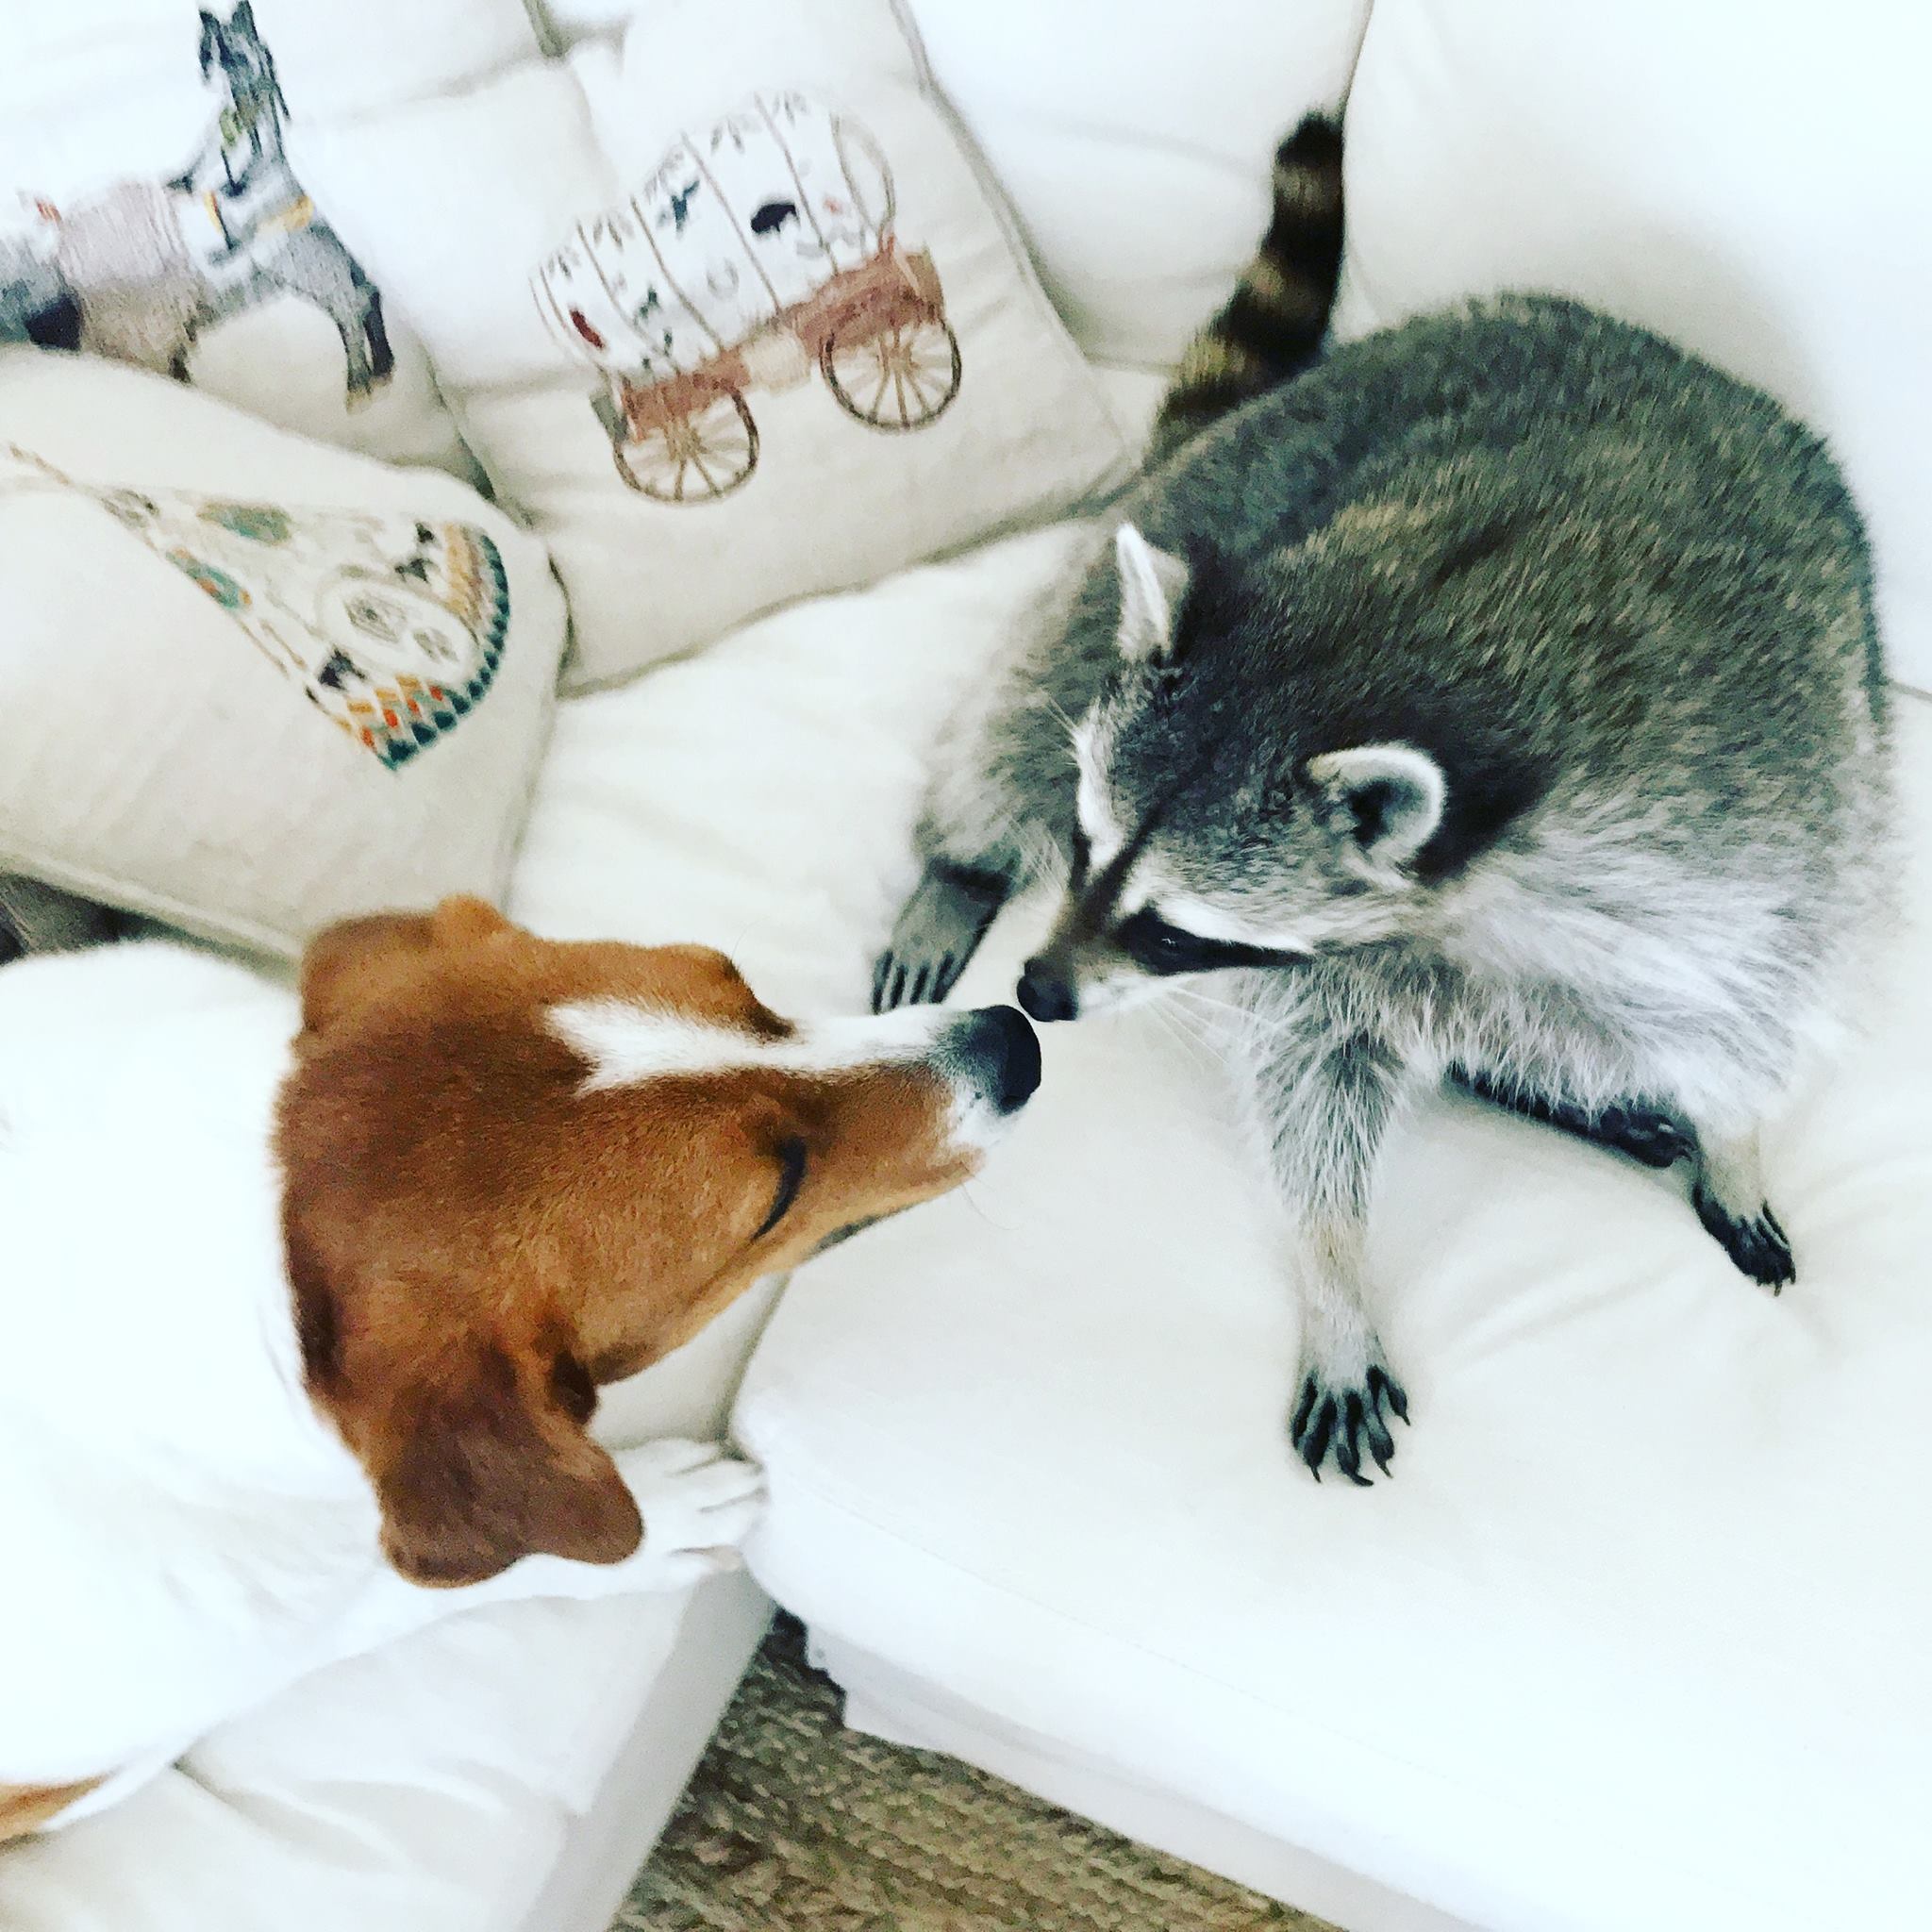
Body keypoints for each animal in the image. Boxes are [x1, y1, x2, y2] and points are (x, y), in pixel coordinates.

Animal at [874, 130, 1892, 1487]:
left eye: (1173, 928)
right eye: (1086, 847)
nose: (1039, 990)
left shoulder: (1761, 820)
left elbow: (1748, 1001)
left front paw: (1734, 1133)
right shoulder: (1331, 955)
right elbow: (1308, 1084)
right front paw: (1334, 1274)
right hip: (1213, 495)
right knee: (1031, 696)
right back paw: (963, 859)